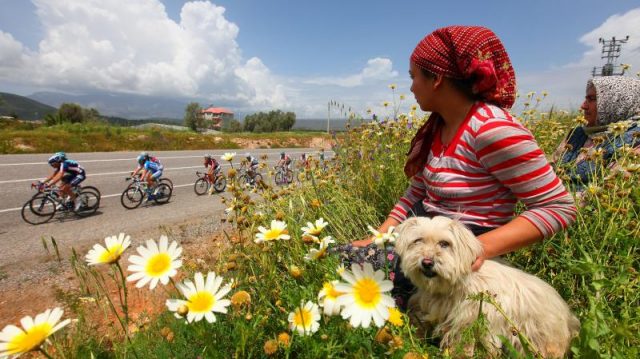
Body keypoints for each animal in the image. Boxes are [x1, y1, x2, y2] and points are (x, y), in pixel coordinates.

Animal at [396, 215, 580, 358]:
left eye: (444, 243)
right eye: (418, 241)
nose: (427, 262)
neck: (453, 286)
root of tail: (569, 321)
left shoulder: (471, 322)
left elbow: (465, 344)